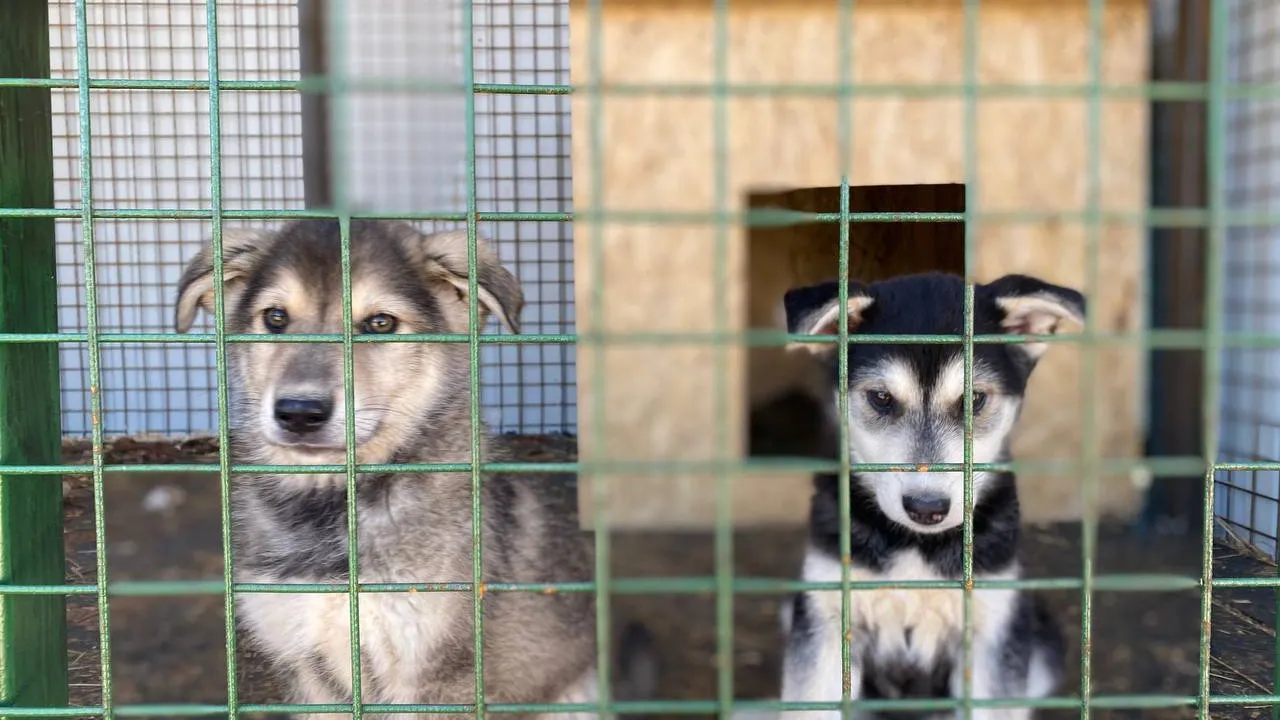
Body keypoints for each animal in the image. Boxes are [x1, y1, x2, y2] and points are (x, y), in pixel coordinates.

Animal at [175, 219, 655, 717]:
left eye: (380, 323)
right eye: (274, 318)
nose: (299, 413)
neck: (333, 510)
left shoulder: (438, 677)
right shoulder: (306, 663)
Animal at [768, 270, 1080, 717]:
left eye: (974, 399)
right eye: (881, 398)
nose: (927, 508)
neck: (916, 546)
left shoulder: (994, 627)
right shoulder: (825, 618)